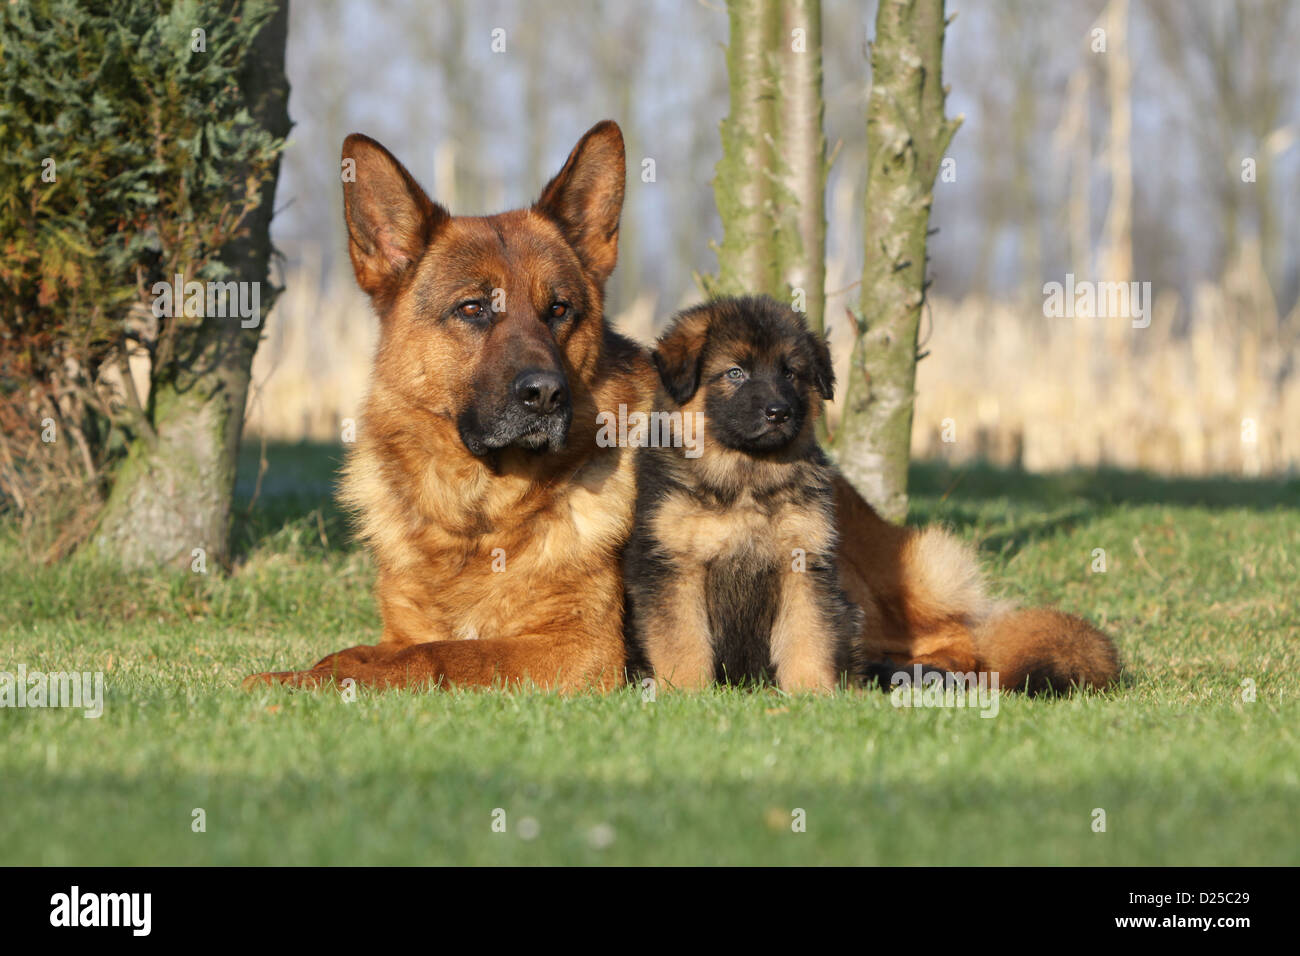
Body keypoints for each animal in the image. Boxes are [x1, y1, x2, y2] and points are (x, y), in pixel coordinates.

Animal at [626, 295, 863, 691]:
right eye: (735, 372)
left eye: (789, 373)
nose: (778, 412)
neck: (745, 478)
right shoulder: (674, 565)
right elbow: (681, 640)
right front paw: (686, 691)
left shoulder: (802, 562)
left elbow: (808, 634)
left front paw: (812, 692)